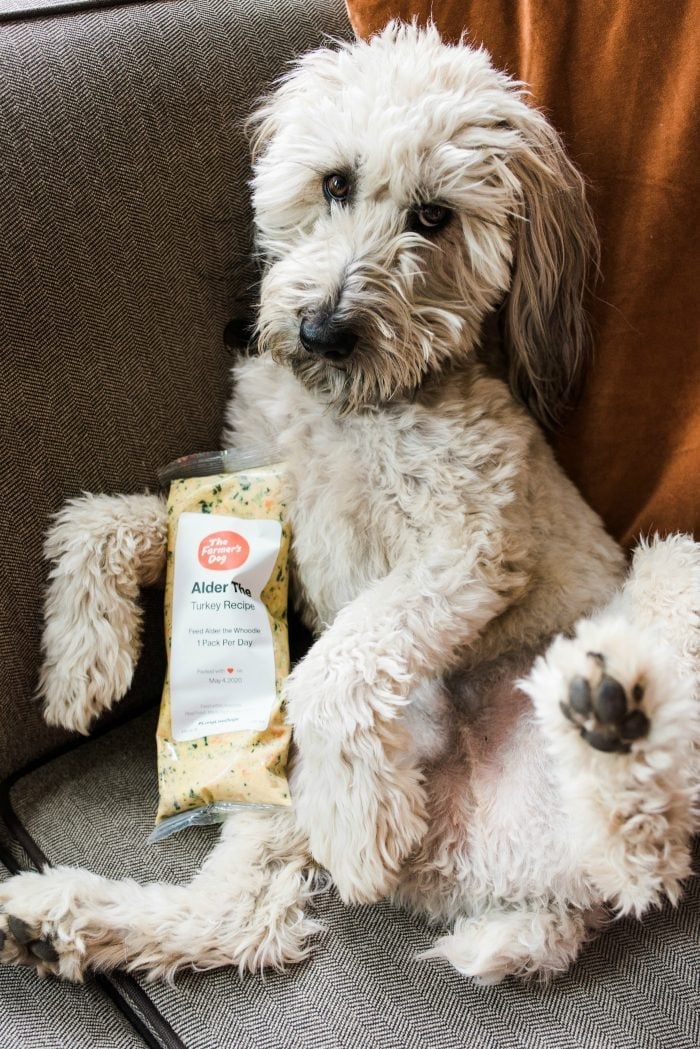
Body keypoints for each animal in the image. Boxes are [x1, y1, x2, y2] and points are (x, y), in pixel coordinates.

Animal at [1, 26, 700, 990]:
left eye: (434, 216)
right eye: (335, 182)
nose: (324, 330)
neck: (353, 408)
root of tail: (535, 888)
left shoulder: (469, 546)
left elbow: (338, 662)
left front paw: (365, 822)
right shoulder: (259, 497)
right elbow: (103, 519)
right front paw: (81, 660)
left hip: (676, 568)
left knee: (652, 852)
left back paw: (603, 718)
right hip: (266, 796)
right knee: (242, 918)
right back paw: (56, 920)